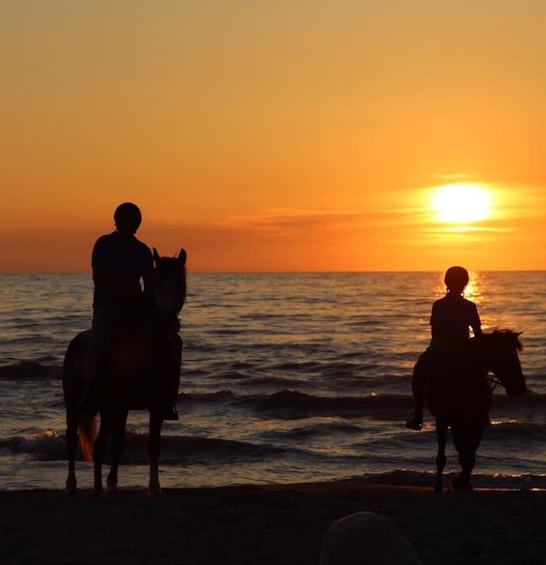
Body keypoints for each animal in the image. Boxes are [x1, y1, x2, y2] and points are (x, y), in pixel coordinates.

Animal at [62, 249, 187, 496]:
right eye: (156, 283)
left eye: (179, 284)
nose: (168, 324)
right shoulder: (112, 405)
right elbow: (102, 445)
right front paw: (99, 487)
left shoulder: (155, 406)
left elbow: (152, 446)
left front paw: (154, 488)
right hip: (77, 404)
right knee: (74, 438)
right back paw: (72, 484)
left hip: (117, 409)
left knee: (115, 440)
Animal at [420, 328, 524, 492]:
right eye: (508, 357)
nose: (521, 388)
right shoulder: (443, 420)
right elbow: (444, 456)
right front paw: (441, 486)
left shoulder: (476, 421)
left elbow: (469, 455)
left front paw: (463, 483)